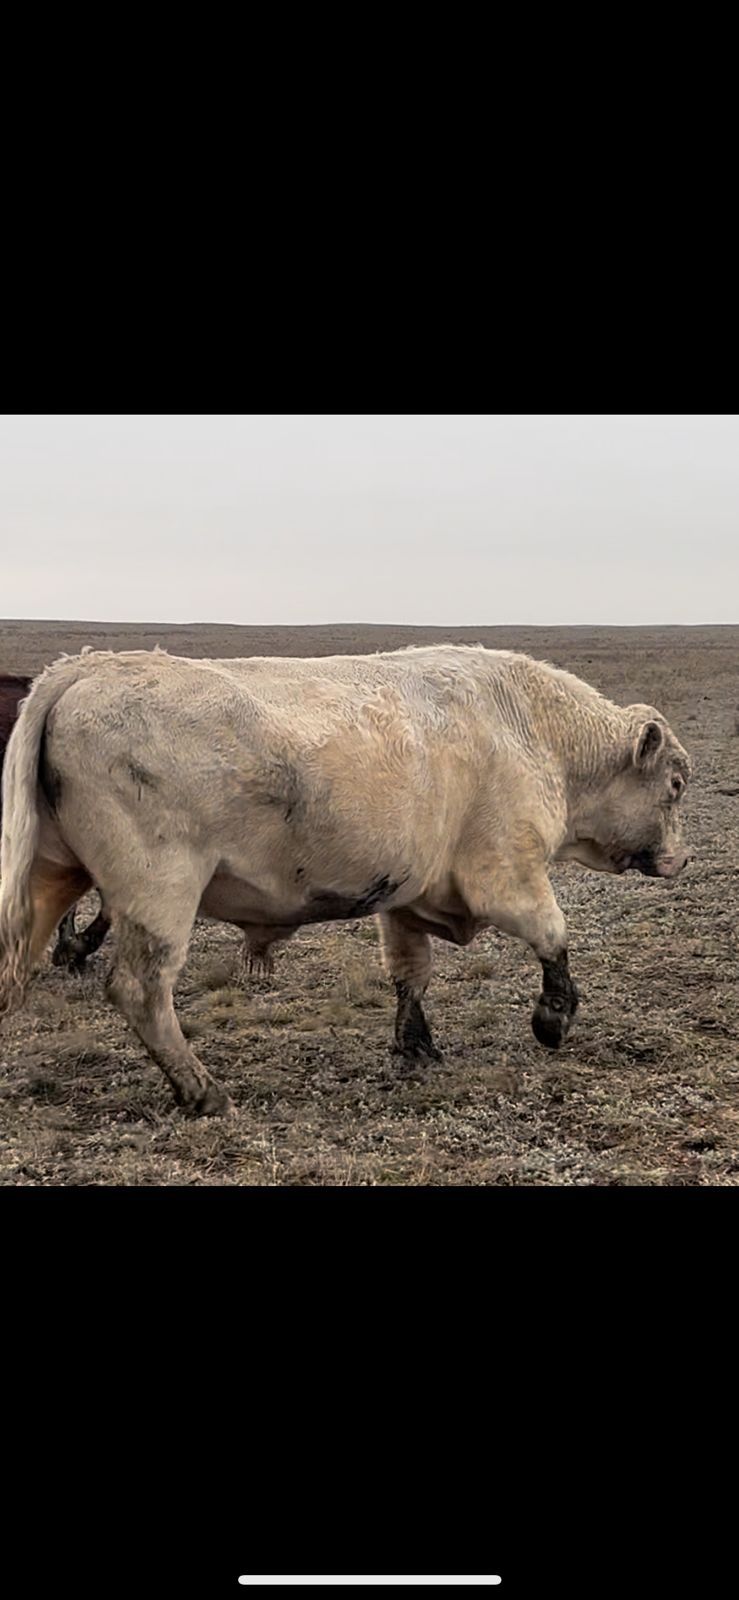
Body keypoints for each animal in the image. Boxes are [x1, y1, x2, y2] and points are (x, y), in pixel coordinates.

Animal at [1, 636, 694, 1113]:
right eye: (676, 786)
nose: (683, 859)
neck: (530, 729)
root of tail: (86, 668)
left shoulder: (408, 897)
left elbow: (410, 975)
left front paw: (416, 1047)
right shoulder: (507, 874)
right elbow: (553, 937)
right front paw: (554, 1018)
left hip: (49, 879)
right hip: (158, 894)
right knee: (141, 991)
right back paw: (202, 1091)